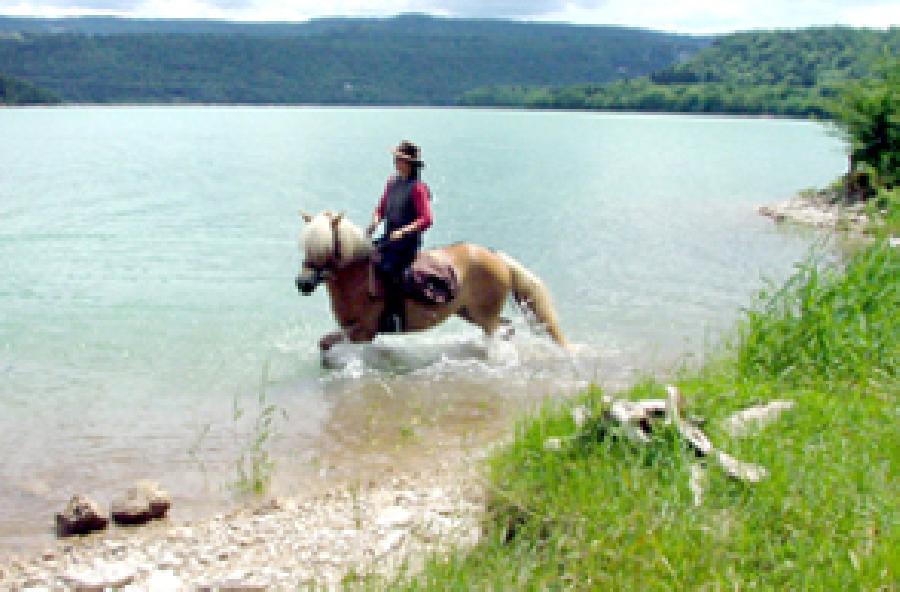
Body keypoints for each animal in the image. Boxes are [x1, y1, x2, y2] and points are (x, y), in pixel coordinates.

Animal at [294, 210, 564, 354]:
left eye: (328, 247)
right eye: (305, 247)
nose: (303, 283)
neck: (358, 278)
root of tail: (495, 256)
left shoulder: (363, 332)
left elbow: (326, 343)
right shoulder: (353, 330)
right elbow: (324, 344)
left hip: (484, 315)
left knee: (498, 330)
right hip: (470, 313)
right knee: (506, 327)